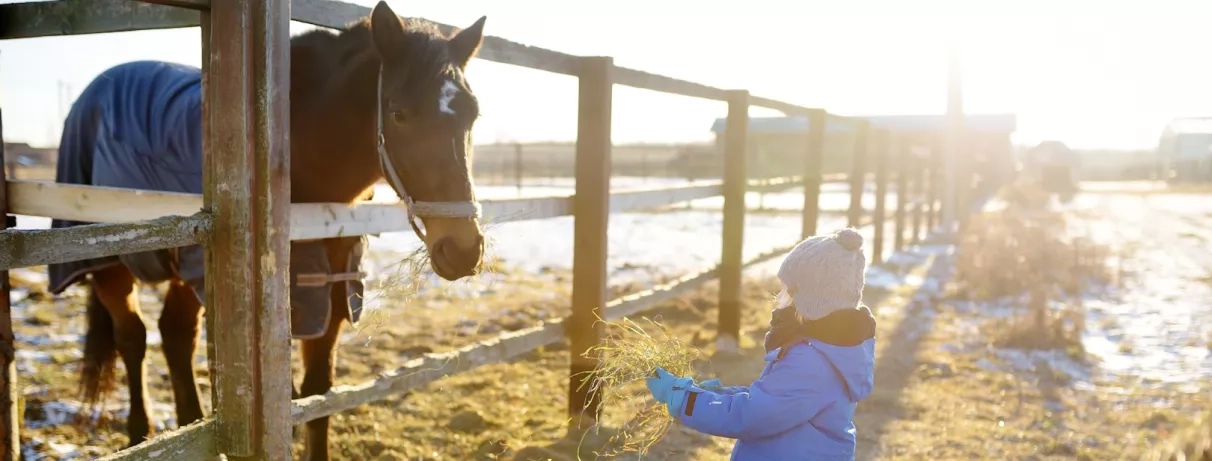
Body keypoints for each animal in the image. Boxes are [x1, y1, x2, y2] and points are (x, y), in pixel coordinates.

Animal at [43, 2, 487, 459]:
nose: (464, 250)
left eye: (472, 114)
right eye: (399, 113)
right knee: (133, 338)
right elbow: (291, 401)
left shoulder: (330, 295)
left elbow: (318, 398)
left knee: (176, 335)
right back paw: (140, 433)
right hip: (106, 263)